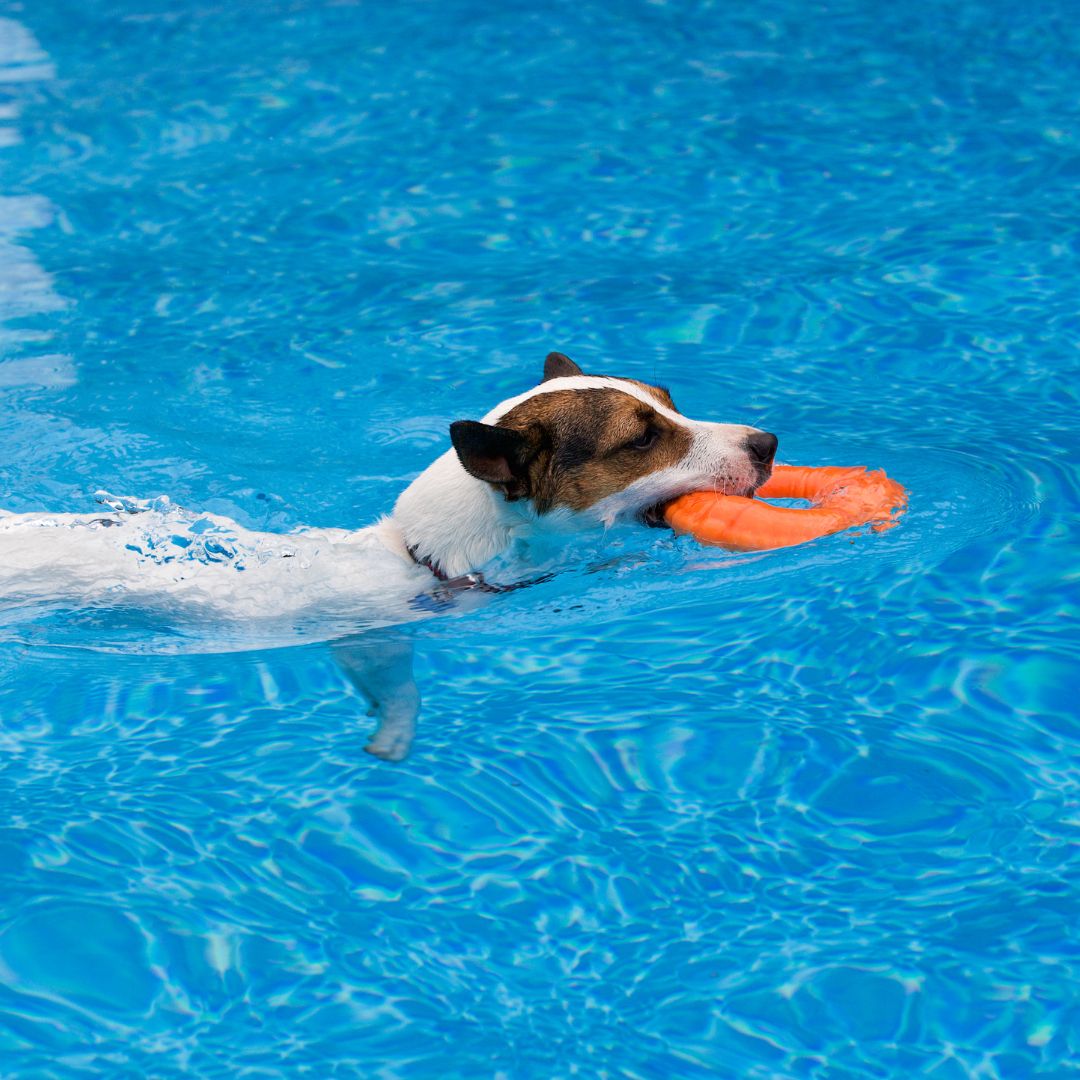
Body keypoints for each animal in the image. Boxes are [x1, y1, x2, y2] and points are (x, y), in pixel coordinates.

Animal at [0, 354, 777, 760]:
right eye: (641, 439)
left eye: (671, 399)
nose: (768, 442)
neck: (421, 557)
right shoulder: (367, 638)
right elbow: (399, 689)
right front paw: (394, 735)